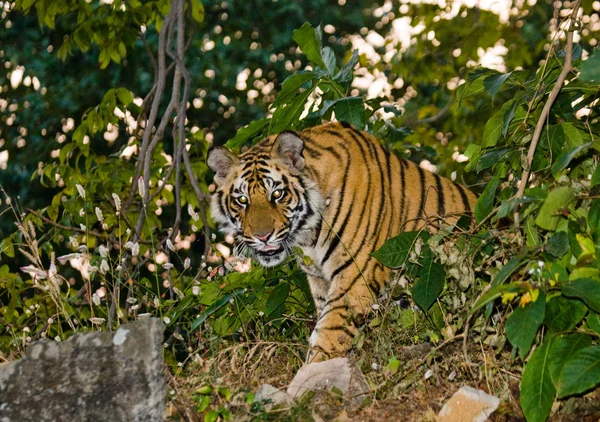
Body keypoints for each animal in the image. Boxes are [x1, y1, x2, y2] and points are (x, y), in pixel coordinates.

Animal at [209, 122, 476, 362]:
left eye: (277, 194)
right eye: (242, 200)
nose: (262, 236)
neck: (308, 234)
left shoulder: (356, 276)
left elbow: (329, 332)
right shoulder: (318, 280)